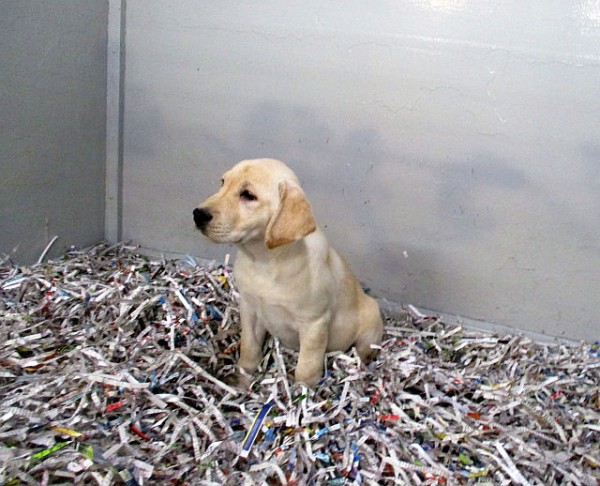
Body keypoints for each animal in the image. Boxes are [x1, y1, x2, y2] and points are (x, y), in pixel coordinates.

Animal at [193, 159, 384, 388]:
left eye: (248, 195)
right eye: (222, 183)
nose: (197, 214)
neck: (264, 262)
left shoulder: (313, 325)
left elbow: (306, 368)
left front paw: (303, 392)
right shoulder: (249, 310)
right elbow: (249, 349)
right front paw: (242, 380)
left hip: (369, 329)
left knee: (364, 351)